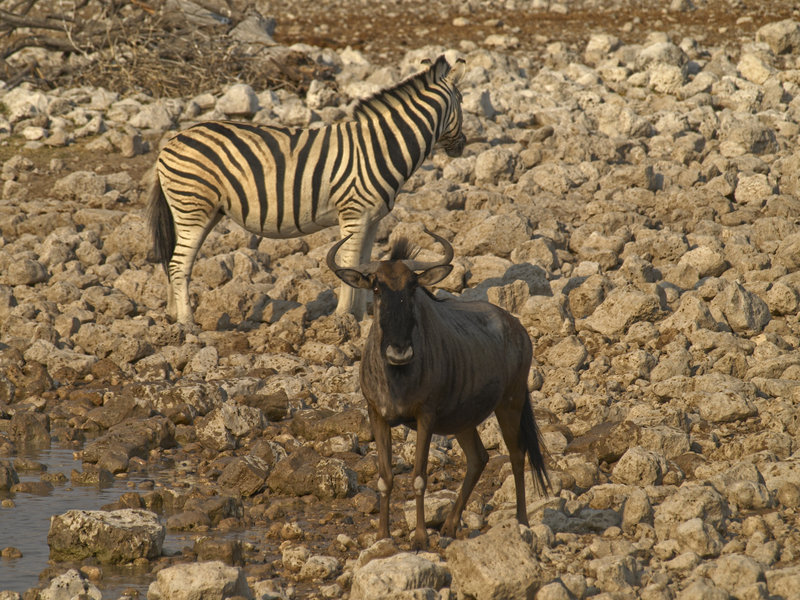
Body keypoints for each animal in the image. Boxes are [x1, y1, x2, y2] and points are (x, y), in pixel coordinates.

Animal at [148, 55, 466, 327]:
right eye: (462, 102)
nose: (462, 145)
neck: (383, 146)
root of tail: (171, 142)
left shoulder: (372, 219)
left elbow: (364, 264)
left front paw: (362, 317)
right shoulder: (354, 214)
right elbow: (349, 264)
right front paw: (343, 318)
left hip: (201, 211)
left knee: (174, 260)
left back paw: (173, 315)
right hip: (193, 208)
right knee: (178, 264)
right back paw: (188, 323)